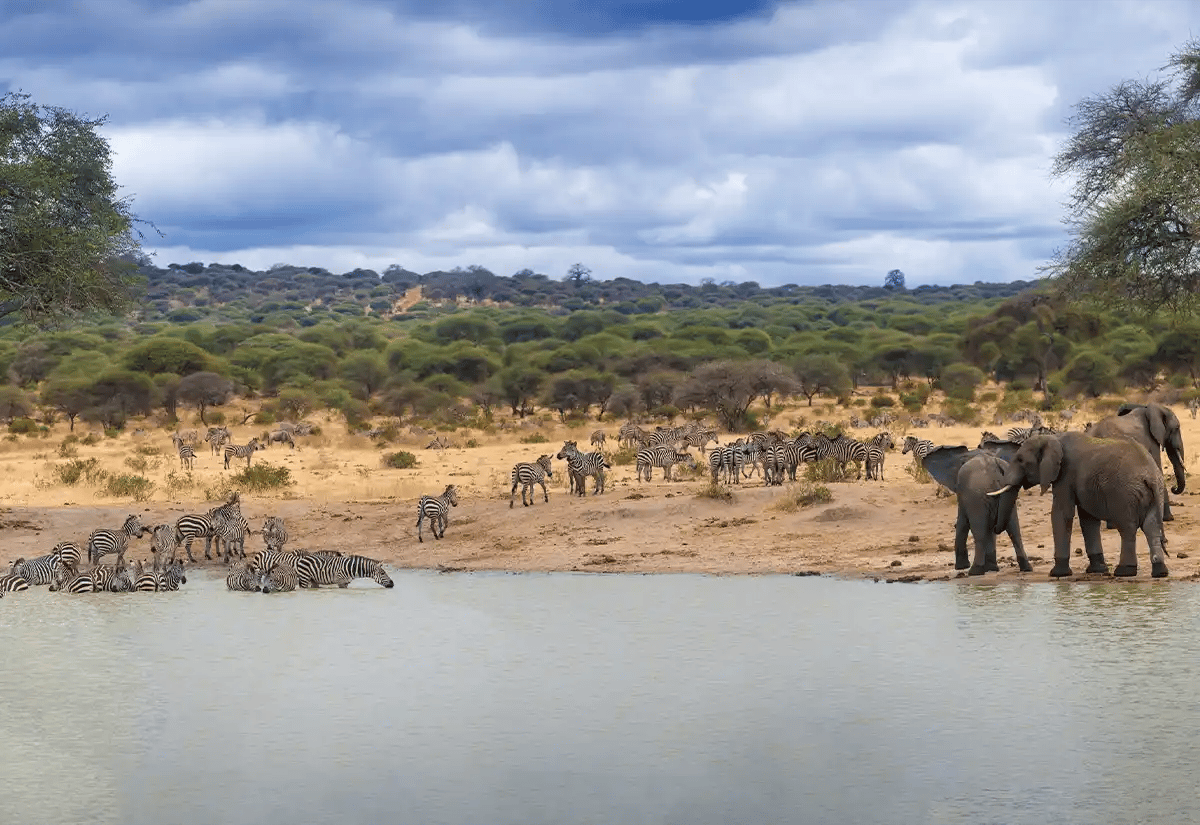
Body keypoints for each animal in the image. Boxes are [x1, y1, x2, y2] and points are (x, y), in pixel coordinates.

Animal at [922, 443, 1032, 576]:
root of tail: (993, 464)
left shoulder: (963, 491)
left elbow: (962, 522)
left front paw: (962, 567)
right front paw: (991, 568)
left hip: (976, 494)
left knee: (979, 531)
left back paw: (975, 571)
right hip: (1006, 495)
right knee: (1014, 530)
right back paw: (1025, 568)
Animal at [989, 433, 1169, 579]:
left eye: (1020, 460)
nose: (995, 528)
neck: (1054, 438)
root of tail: (1150, 476)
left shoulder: (1065, 474)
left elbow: (1061, 514)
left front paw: (1057, 573)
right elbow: (1088, 519)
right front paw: (1097, 570)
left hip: (1125, 494)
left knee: (1127, 528)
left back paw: (1124, 572)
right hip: (1156, 492)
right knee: (1151, 527)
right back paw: (1160, 572)